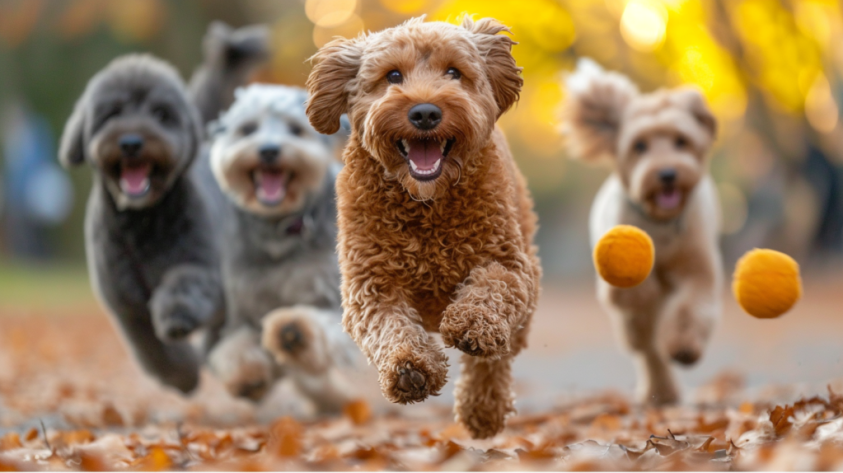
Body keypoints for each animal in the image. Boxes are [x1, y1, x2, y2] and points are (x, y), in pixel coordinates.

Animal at [209, 84, 360, 410]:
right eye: (247, 129)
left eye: (294, 129)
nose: (269, 150)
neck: (279, 231)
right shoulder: (242, 306)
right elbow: (234, 345)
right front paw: (247, 374)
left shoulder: (333, 295)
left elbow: (324, 326)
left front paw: (293, 331)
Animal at [306, 17, 544, 438]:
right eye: (392, 75)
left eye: (454, 72)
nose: (425, 113)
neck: (426, 205)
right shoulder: (370, 286)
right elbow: (390, 328)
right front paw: (409, 368)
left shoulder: (509, 265)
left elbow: (490, 291)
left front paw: (471, 323)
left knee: (496, 356)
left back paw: (483, 408)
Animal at [560, 60, 724, 406]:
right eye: (639, 146)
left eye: (681, 140)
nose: (666, 173)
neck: (660, 225)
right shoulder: (614, 283)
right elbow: (630, 293)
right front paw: (642, 289)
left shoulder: (698, 268)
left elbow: (692, 309)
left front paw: (684, 347)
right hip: (631, 324)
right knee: (646, 348)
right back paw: (660, 390)